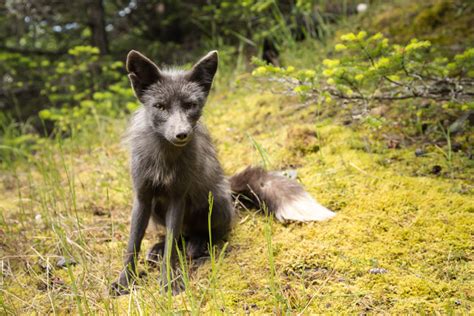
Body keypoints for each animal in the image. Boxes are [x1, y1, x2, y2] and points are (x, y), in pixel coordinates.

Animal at [111, 50, 336, 296]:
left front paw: (169, 282)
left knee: (205, 235)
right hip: (156, 210)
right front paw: (124, 282)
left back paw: (198, 246)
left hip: (213, 202)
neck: (163, 160)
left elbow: (171, 249)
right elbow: (132, 245)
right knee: (180, 236)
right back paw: (160, 248)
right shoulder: (143, 196)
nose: (182, 134)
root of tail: (226, 186)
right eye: (160, 106)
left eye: (190, 105)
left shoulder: (178, 197)